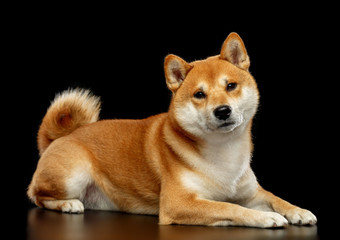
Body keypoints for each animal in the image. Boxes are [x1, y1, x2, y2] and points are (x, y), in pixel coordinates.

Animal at [27, 32, 318, 228]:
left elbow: (275, 198)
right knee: (38, 196)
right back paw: (68, 204)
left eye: (231, 86)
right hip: (72, 175)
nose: (222, 111)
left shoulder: (251, 192)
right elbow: (230, 207)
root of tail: (60, 137)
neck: (223, 151)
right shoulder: (179, 204)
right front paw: (265, 217)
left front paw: (298, 210)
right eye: (199, 94)